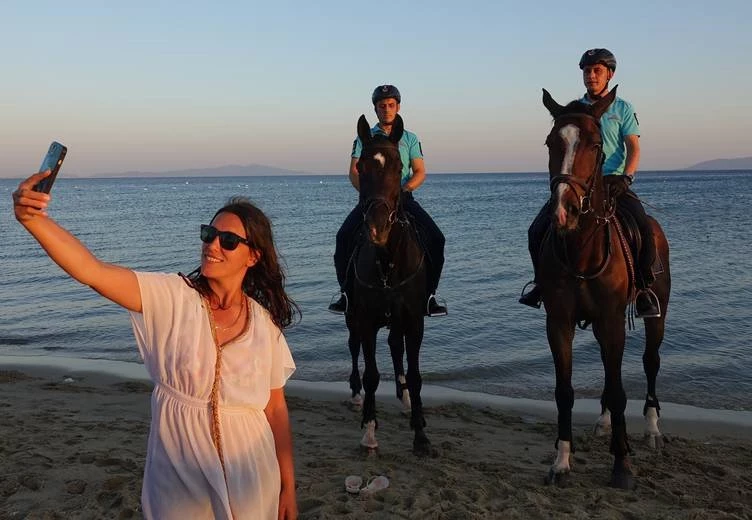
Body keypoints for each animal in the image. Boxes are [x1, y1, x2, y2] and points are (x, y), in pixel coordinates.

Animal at [343, 113, 431, 456]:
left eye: (398, 166)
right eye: (362, 166)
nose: (377, 228)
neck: (387, 262)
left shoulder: (415, 320)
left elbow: (417, 375)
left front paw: (420, 434)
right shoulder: (366, 319)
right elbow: (371, 375)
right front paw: (369, 430)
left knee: (395, 346)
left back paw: (405, 399)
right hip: (352, 316)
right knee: (354, 347)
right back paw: (356, 396)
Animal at [536, 87, 671, 489]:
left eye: (596, 144)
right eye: (550, 142)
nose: (563, 211)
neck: (582, 250)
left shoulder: (612, 322)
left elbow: (618, 387)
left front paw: (622, 464)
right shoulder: (559, 323)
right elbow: (564, 392)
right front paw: (562, 461)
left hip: (656, 314)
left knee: (650, 362)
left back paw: (653, 429)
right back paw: (603, 421)